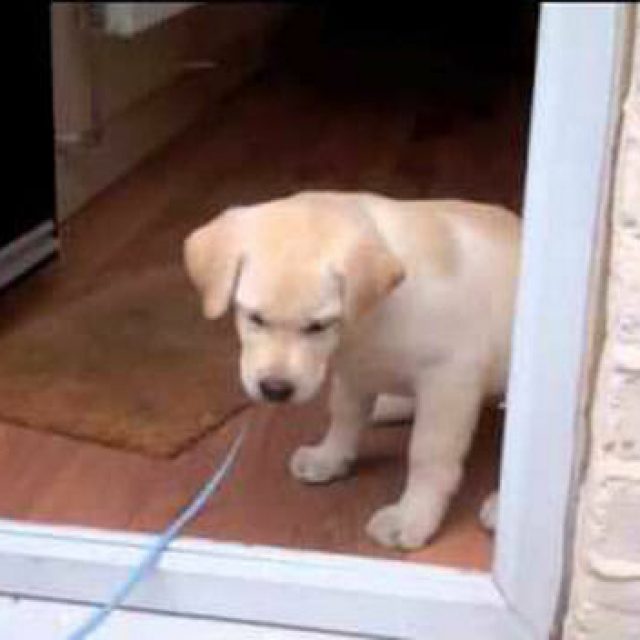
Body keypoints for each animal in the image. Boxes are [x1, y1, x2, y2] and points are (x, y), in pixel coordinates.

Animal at [184, 191, 521, 549]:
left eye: (317, 327)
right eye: (255, 318)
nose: (275, 390)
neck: (375, 314)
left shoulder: (449, 379)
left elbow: (427, 454)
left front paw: (412, 516)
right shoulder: (355, 371)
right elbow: (345, 416)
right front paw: (329, 458)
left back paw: (499, 508)